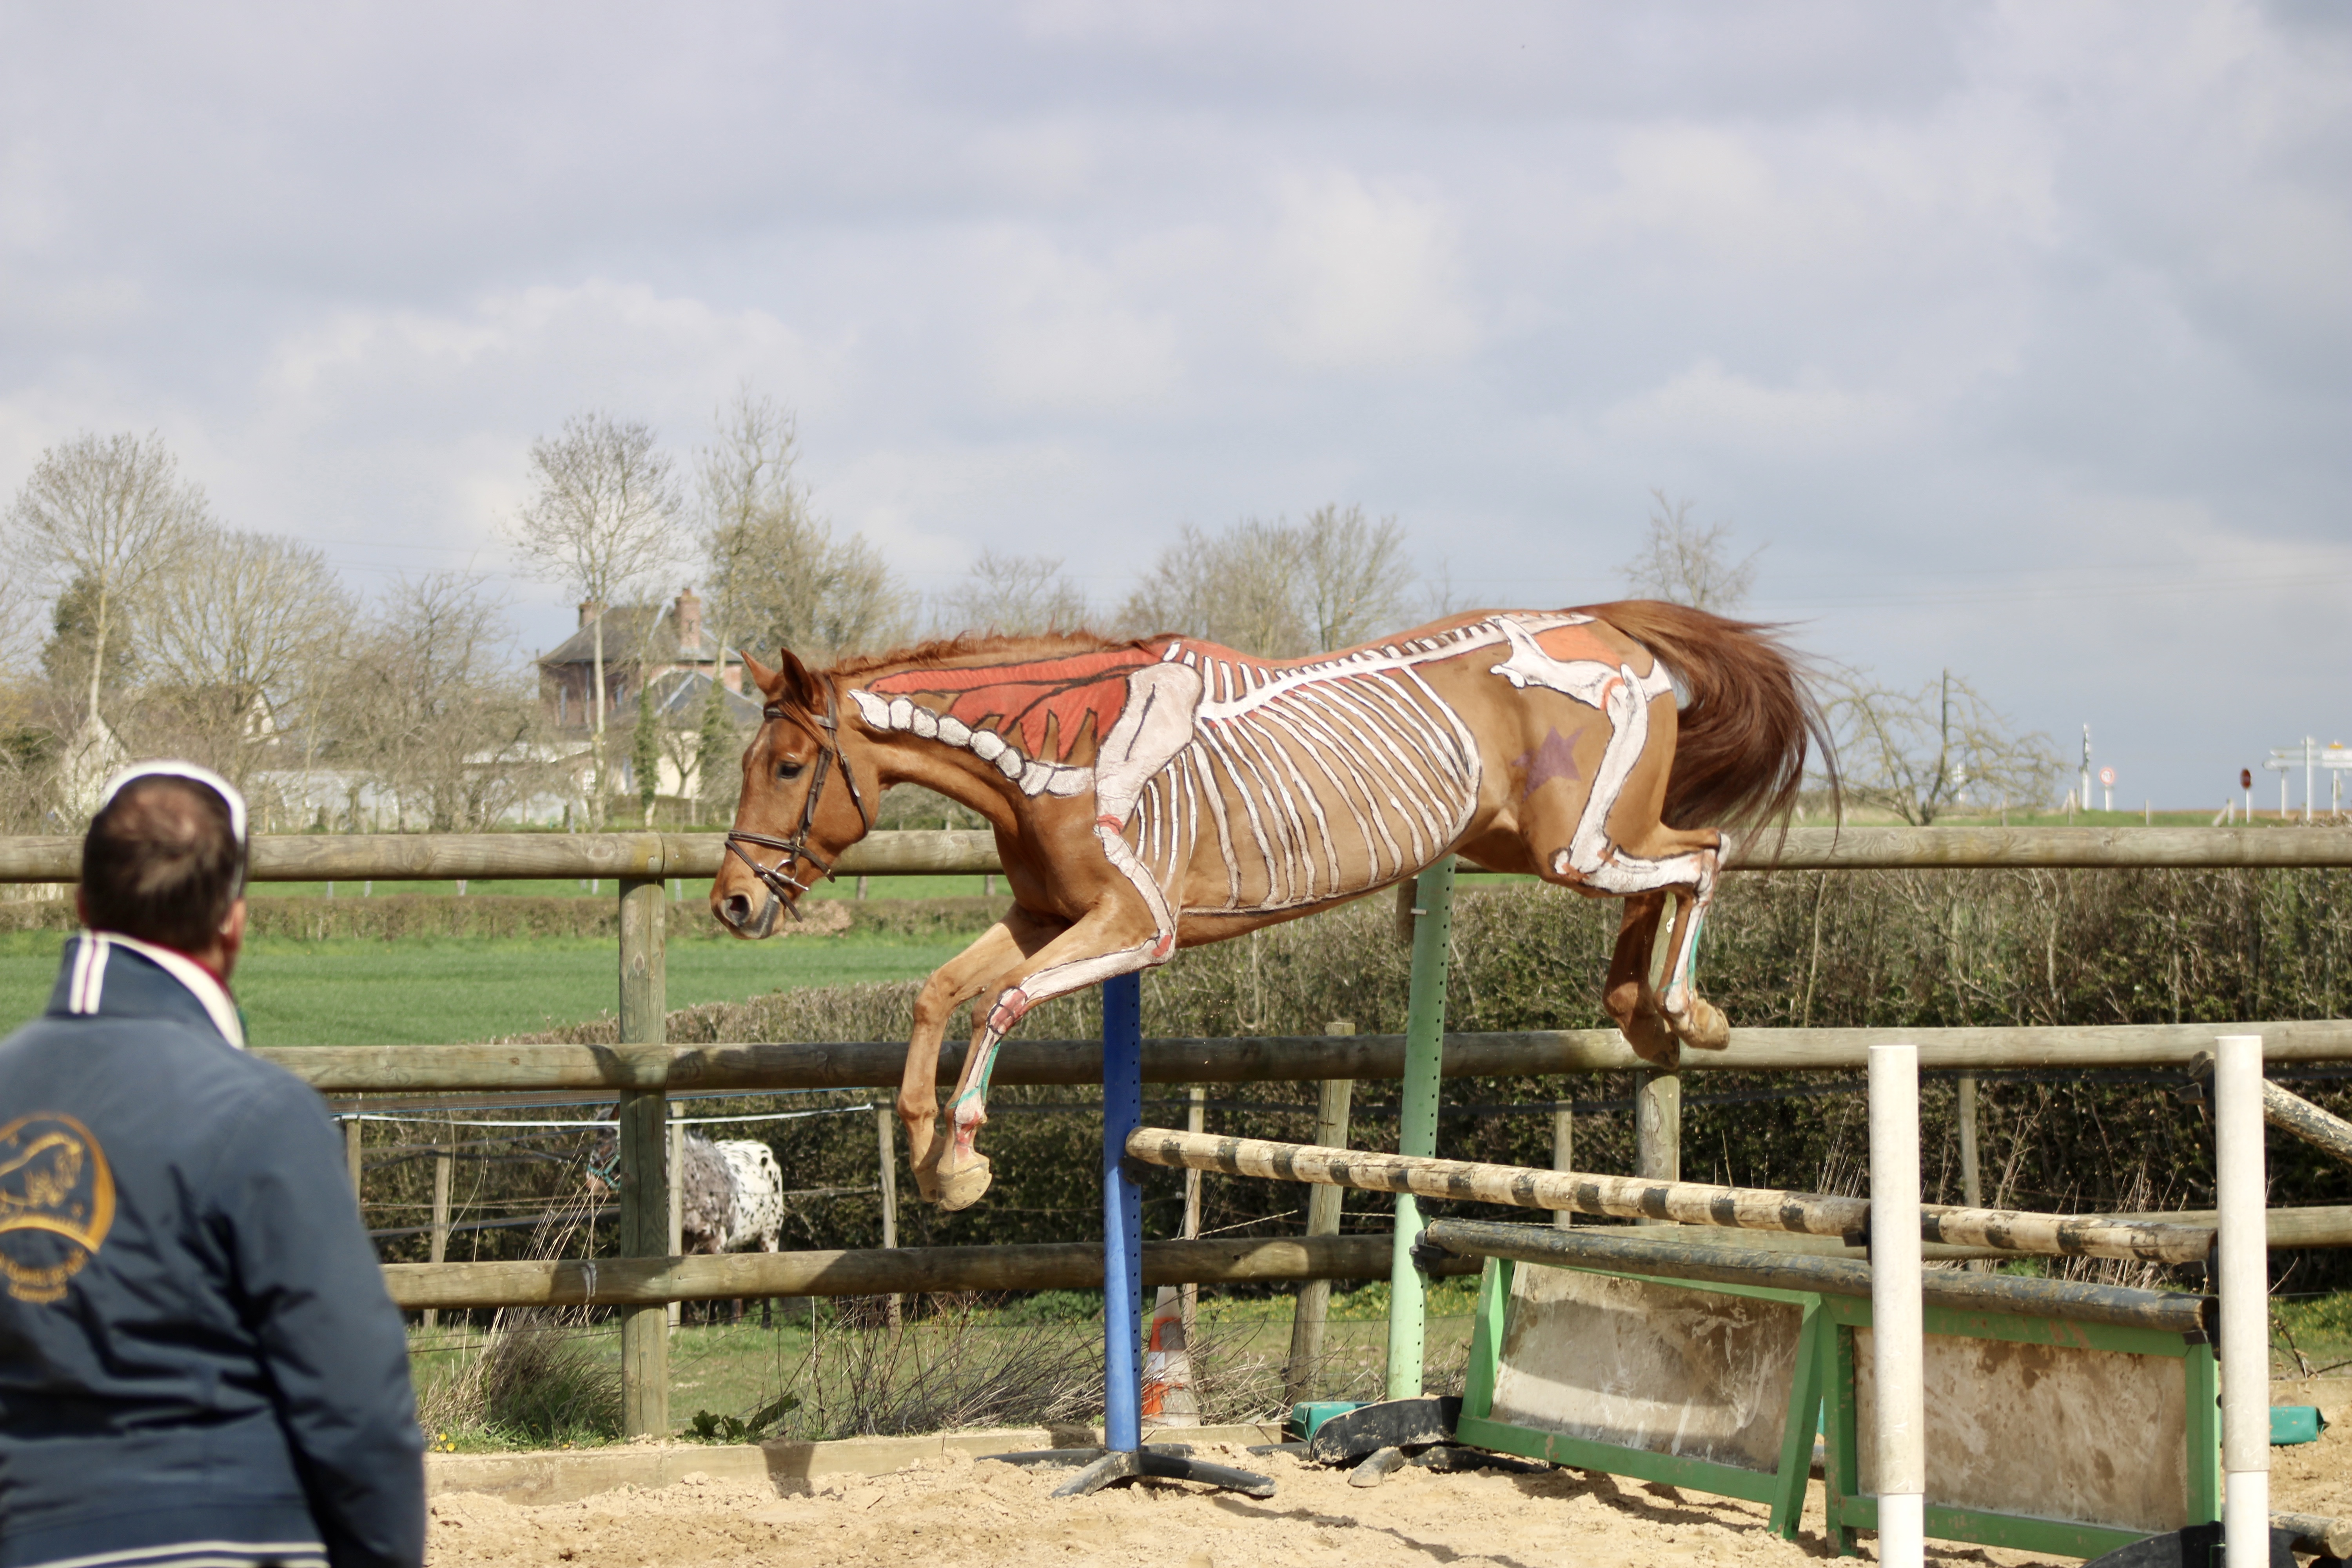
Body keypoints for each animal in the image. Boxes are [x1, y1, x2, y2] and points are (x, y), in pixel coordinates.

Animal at [712, 601, 1826, 1212]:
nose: (731, 903)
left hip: (1576, 845)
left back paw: (1684, 1010)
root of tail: (1611, 631)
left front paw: (960, 1159)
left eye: (790, 765)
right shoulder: (1045, 920)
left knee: (1705, 854)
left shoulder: (1137, 929)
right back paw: (1643, 1009)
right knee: (1672, 868)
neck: (1061, 748)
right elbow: (939, 994)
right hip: (1540, 846)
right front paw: (923, 1155)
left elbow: (1001, 1005)